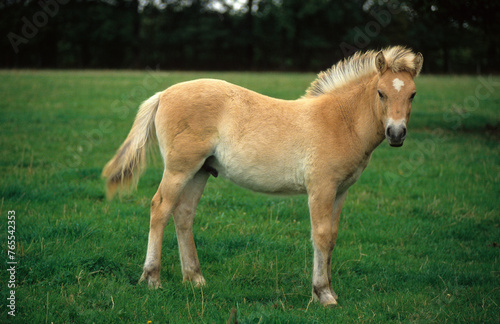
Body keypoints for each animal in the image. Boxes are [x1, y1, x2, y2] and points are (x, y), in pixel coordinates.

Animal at [101, 45, 422, 306]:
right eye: (381, 92)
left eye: (412, 95)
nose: (396, 134)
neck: (340, 120)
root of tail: (163, 94)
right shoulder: (321, 188)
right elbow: (320, 236)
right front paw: (323, 294)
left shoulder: (341, 191)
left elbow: (331, 237)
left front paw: (328, 290)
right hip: (180, 169)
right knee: (160, 208)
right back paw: (152, 279)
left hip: (200, 171)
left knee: (183, 213)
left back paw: (194, 278)